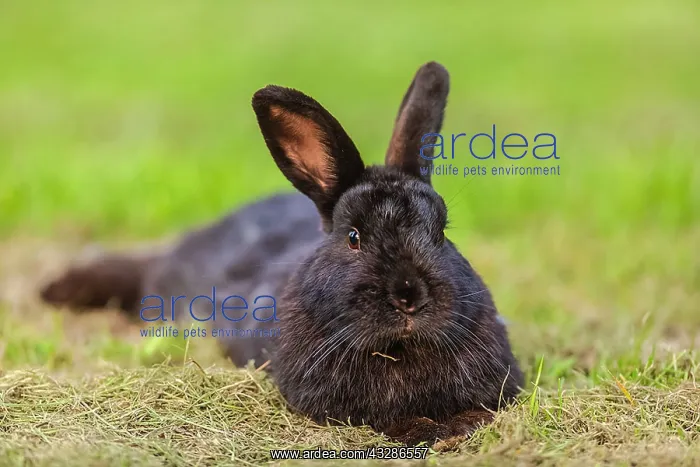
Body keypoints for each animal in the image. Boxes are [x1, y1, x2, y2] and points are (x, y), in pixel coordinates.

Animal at [40, 61, 524, 446]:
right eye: (353, 237)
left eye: (440, 232)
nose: (410, 296)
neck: (400, 349)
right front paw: (432, 430)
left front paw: (464, 424)